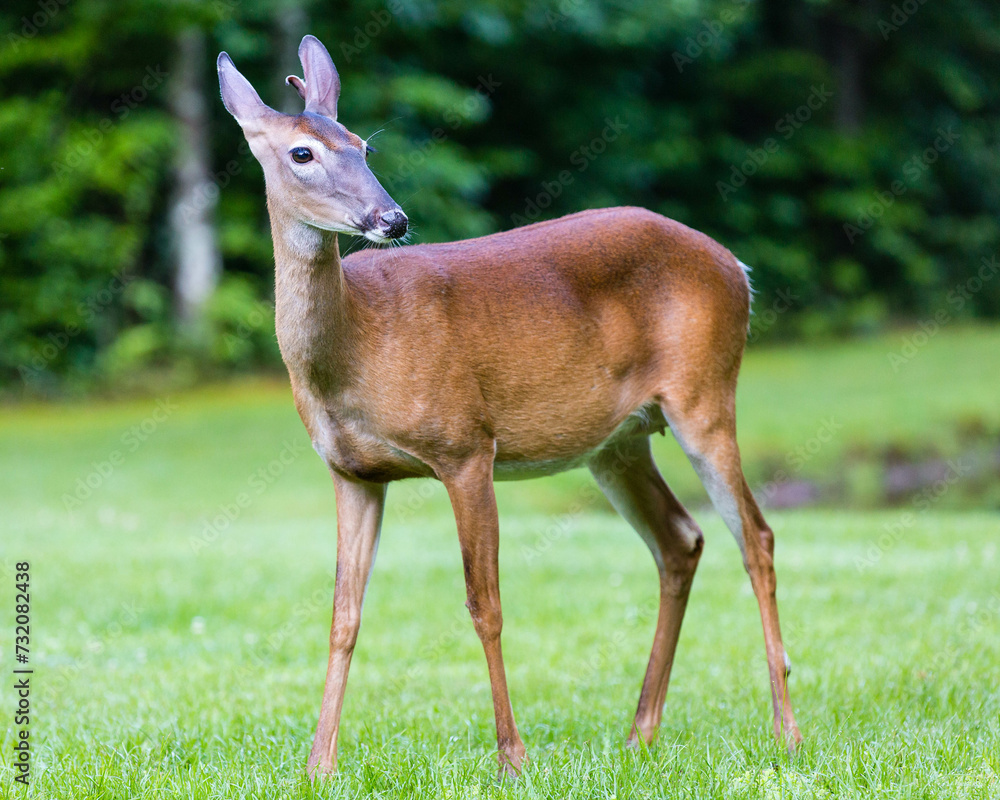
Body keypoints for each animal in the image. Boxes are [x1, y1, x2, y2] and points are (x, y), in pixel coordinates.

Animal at [217, 35, 802, 779]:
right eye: (302, 153)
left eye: (363, 146)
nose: (391, 218)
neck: (356, 350)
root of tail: (738, 268)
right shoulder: (353, 472)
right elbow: (343, 615)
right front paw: (320, 764)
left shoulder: (466, 444)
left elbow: (484, 604)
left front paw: (512, 757)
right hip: (616, 441)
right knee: (681, 538)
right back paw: (640, 731)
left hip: (705, 394)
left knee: (755, 535)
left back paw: (786, 729)